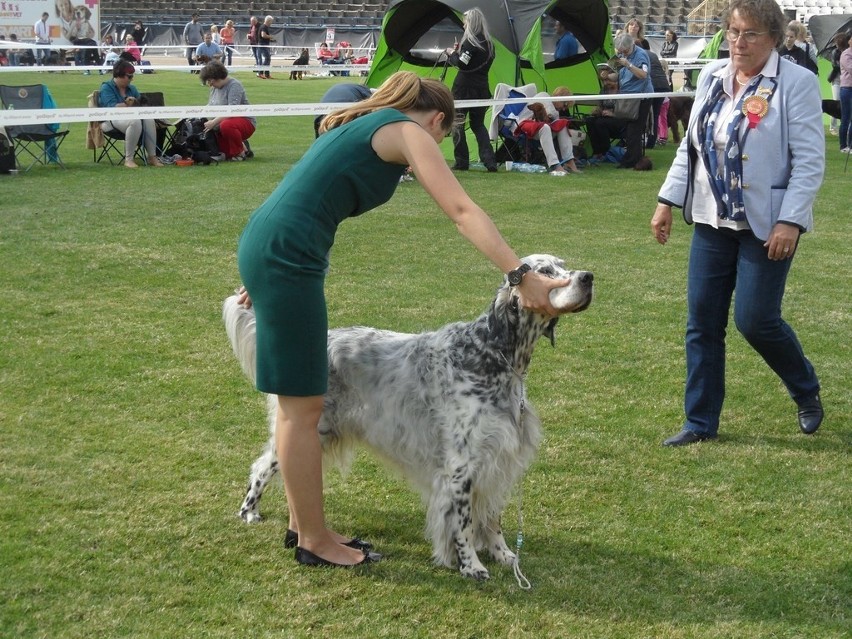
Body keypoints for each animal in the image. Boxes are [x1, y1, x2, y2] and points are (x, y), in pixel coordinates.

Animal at [226, 254, 592, 580]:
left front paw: (503, 554)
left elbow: (492, 518)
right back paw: (250, 511)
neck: (491, 354)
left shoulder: (496, 456)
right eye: (545, 271)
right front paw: (470, 565)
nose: (588, 277)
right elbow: (463, 524)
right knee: (262, 467)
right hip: (309, 426)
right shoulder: (461, 466)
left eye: (564, 265)